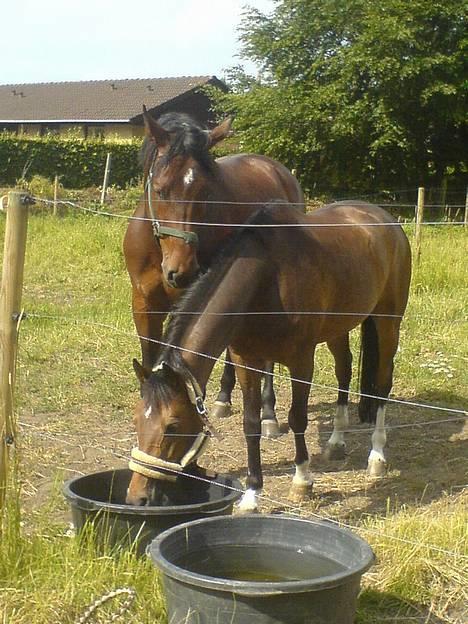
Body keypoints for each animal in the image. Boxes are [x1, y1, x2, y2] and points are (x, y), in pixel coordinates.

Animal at [122, 107, 306, 432]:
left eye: (206, 193)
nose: (181, 270)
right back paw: (224, 397)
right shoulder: (144, 302)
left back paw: (268, 412)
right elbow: (150, 355)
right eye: (160, 190)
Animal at [126, 202, 412, 510]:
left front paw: (302, 482)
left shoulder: (301, 361)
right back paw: (336, 442)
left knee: (383, 383)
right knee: (344, 371)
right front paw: (252, 493)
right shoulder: (245, 360)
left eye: (173, 426)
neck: (267, 278)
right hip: (339, 326)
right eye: (136, 419)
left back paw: (377, 455)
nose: (137, 497)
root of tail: (382, 217)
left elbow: (298, 417)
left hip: (388, 322)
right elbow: (250, 424)